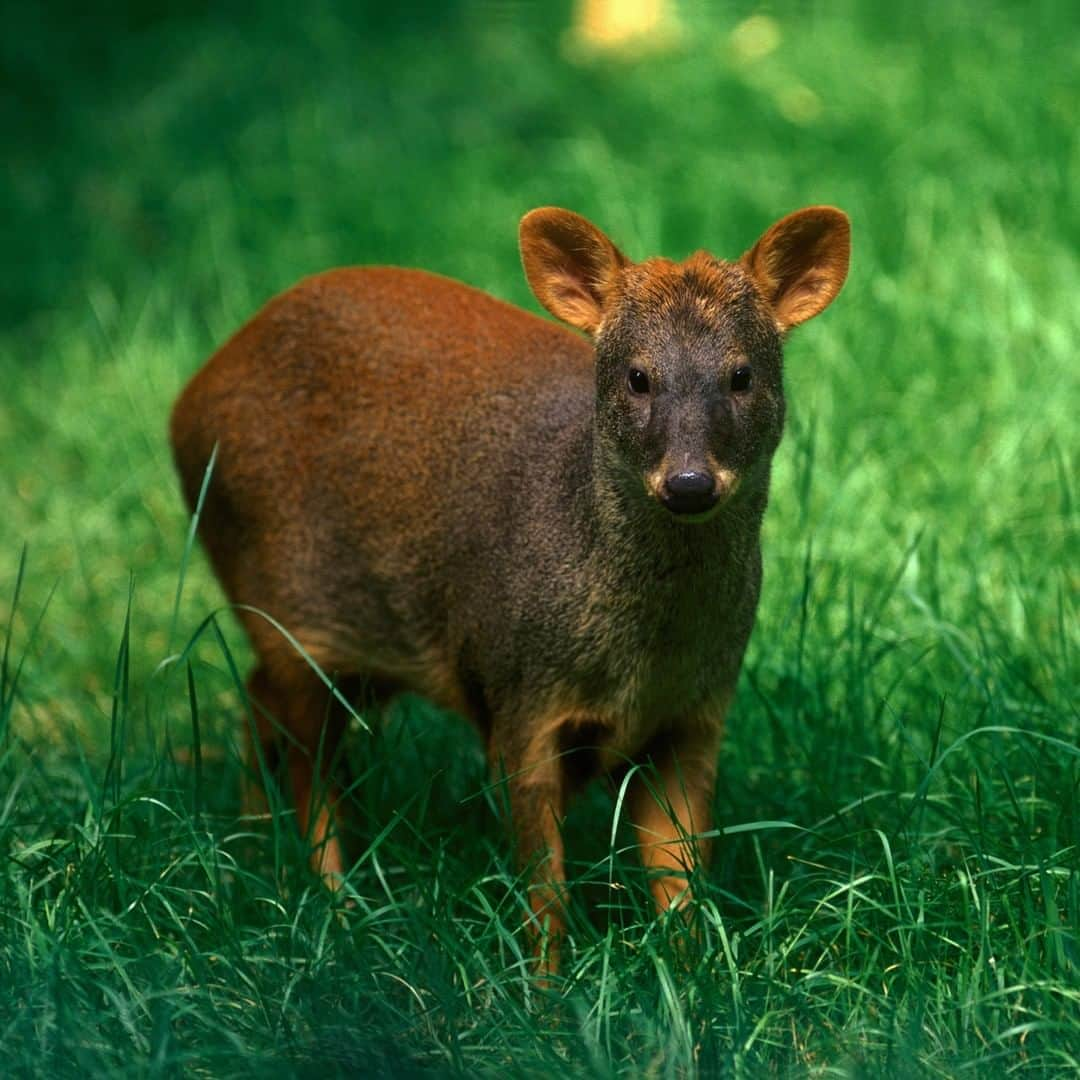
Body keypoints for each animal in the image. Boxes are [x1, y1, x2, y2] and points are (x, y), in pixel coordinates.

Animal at [168, 203, 846, 972]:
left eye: (741, 374)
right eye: (638, 376)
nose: (689, 482)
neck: (639, 661)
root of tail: (187, 402)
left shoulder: (696, 715)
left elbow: (678, 874)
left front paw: (694, 978)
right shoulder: (519, 697)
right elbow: (543, 885)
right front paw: (544, 992)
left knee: (257, 705)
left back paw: (253, 859)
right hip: (294, 613)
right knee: (309, 768)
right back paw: (334, 908)